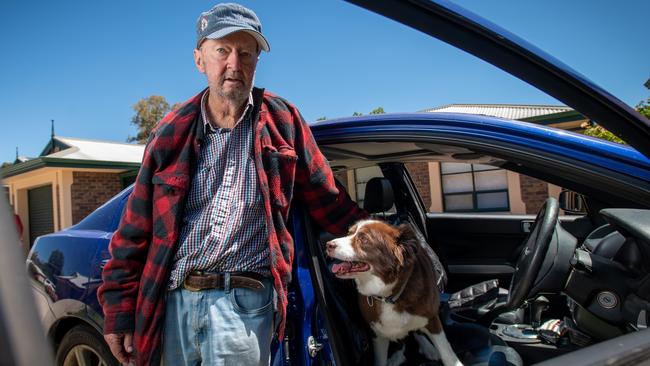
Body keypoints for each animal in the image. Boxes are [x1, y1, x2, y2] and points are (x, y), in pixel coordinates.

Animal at [324, 220, 460, 366]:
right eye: (349, 233)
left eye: (364, 239)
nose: (328, 245)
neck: (389, 296)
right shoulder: (377, 331)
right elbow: (380, 359)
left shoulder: (431, 317)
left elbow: (446, 352)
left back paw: (428, 348)